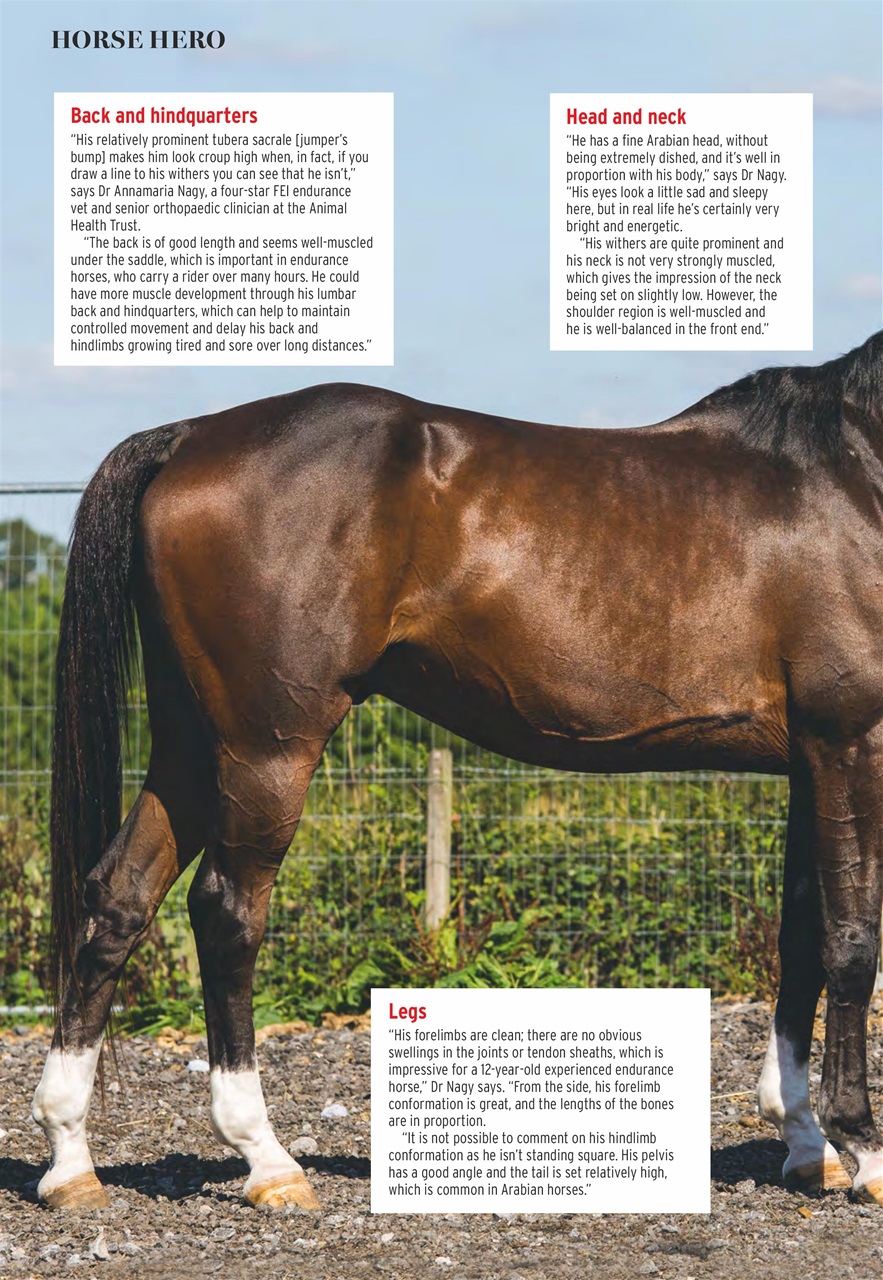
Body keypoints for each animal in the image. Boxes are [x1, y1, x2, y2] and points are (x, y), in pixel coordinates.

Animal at [32, 331, 883, 1211]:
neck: (853, 471)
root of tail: (188, 437)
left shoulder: (809, 762)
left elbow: (802, 936)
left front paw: (805, 1142)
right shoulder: (852, 742)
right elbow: (852, 940)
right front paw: (862, 1149)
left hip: (192, 747)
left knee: (120, 897)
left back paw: (70, 1158)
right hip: (265, 749)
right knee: (227, 913)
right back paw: (266, 1159)